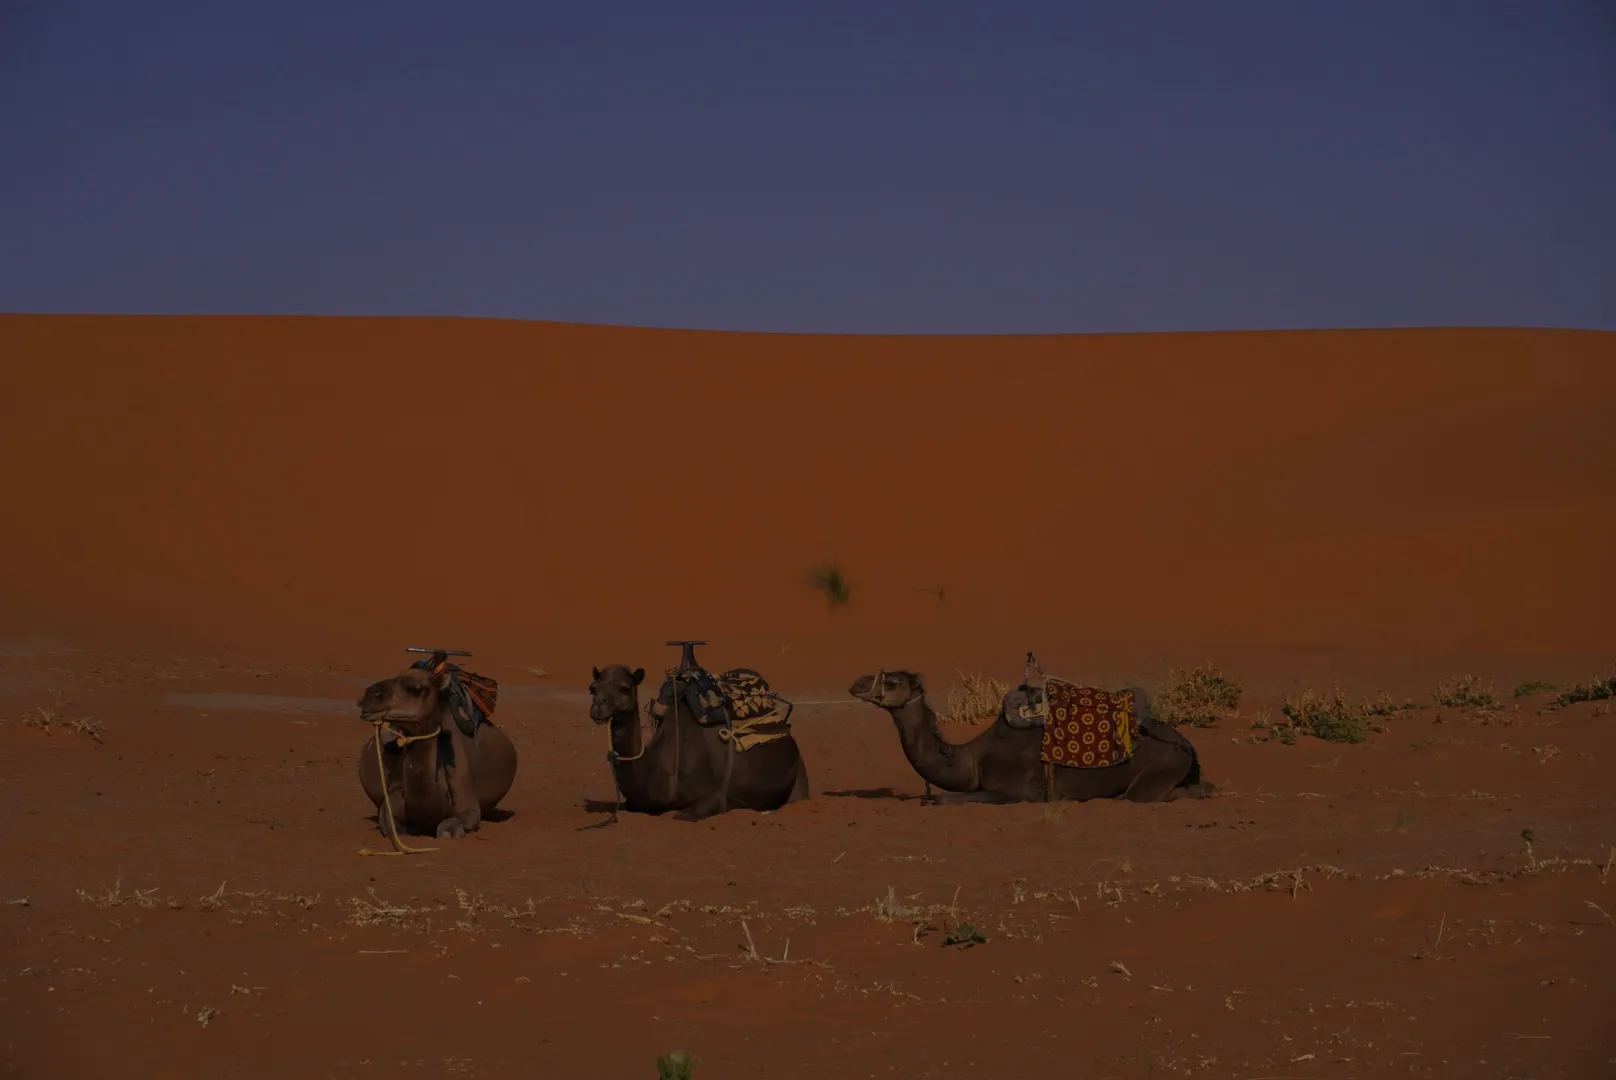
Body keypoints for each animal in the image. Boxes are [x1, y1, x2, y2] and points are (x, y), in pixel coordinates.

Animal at [356, 665, 518, 840]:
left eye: (415, 688)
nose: (369, 695)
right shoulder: (389, 806)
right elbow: (394, 829)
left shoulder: (469, 811)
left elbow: (445, 830)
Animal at [587, 664, 810, 821]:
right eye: (592, 689)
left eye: (624, 688)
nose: (598, 706)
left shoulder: (714, 797)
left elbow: (681, 815)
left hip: (799, 774)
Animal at [848, 670, 1209, 804]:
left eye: (893, 681)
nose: (856, 684)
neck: (971, 757)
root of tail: (1190, 746)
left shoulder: (1020, 788)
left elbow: (951, 799)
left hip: (1159, 769)